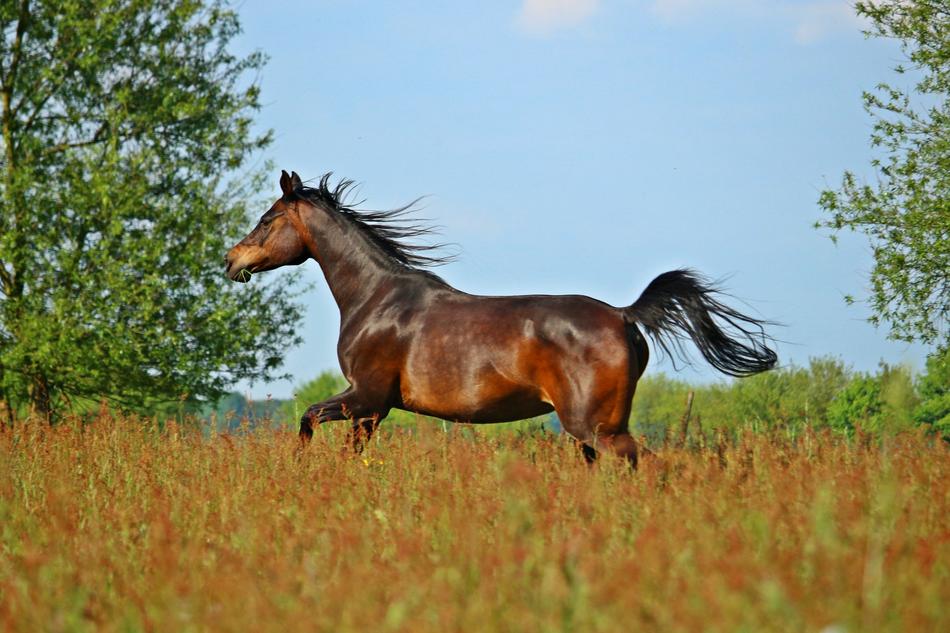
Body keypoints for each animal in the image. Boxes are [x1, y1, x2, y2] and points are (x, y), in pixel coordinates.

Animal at [227, 170, 776, 466]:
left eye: (267, 219)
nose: (232, 260)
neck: (376, 298)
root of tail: (624, 315)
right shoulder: (372, 409)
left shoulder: (366, 396)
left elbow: (306, 419)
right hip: (590, 431)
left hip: (595, 427)